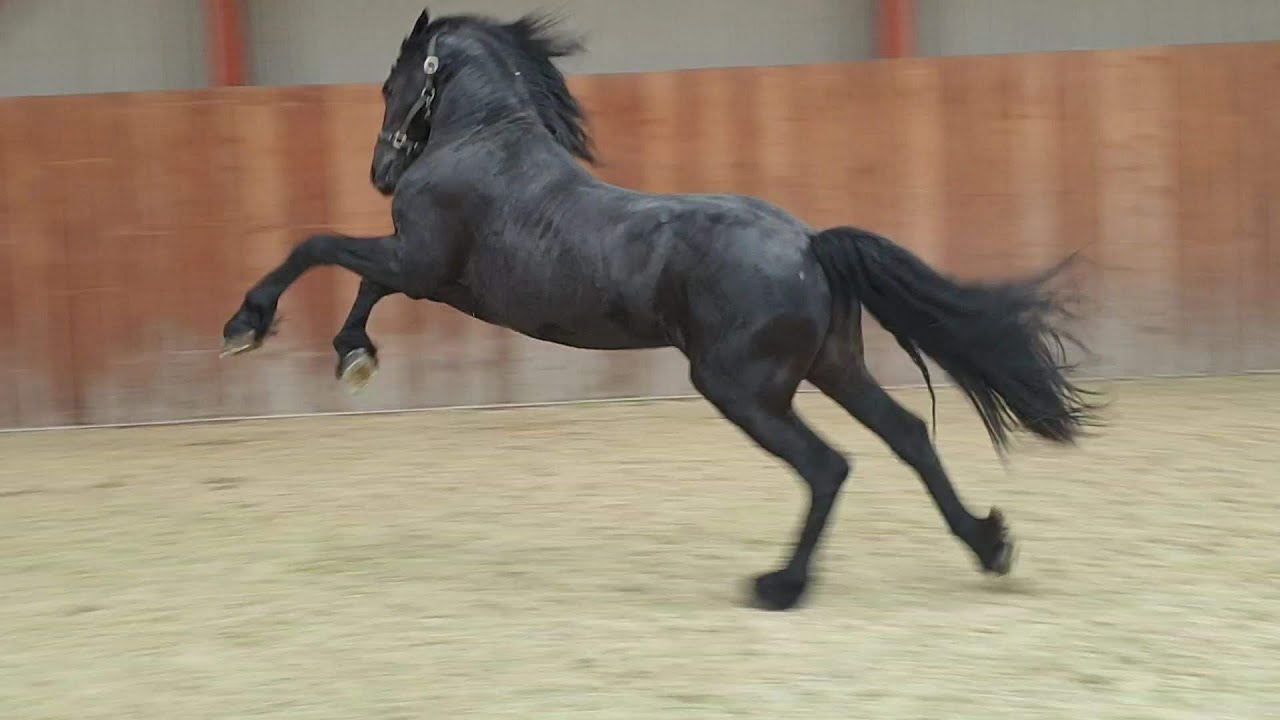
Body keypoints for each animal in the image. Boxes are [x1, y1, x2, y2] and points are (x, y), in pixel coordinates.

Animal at [222, 9, 1100, 604]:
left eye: (391, 82)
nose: (379, 171)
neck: (486, 144)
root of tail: (810, 243)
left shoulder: (423, 262)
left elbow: (318, 247)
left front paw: (247, 326)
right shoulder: (426, 272)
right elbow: (358, 278)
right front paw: (354, 356)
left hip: (741, 388)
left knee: (828, 466)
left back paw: (780, 586)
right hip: (833, 368)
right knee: (910, 436)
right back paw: (988, 544)